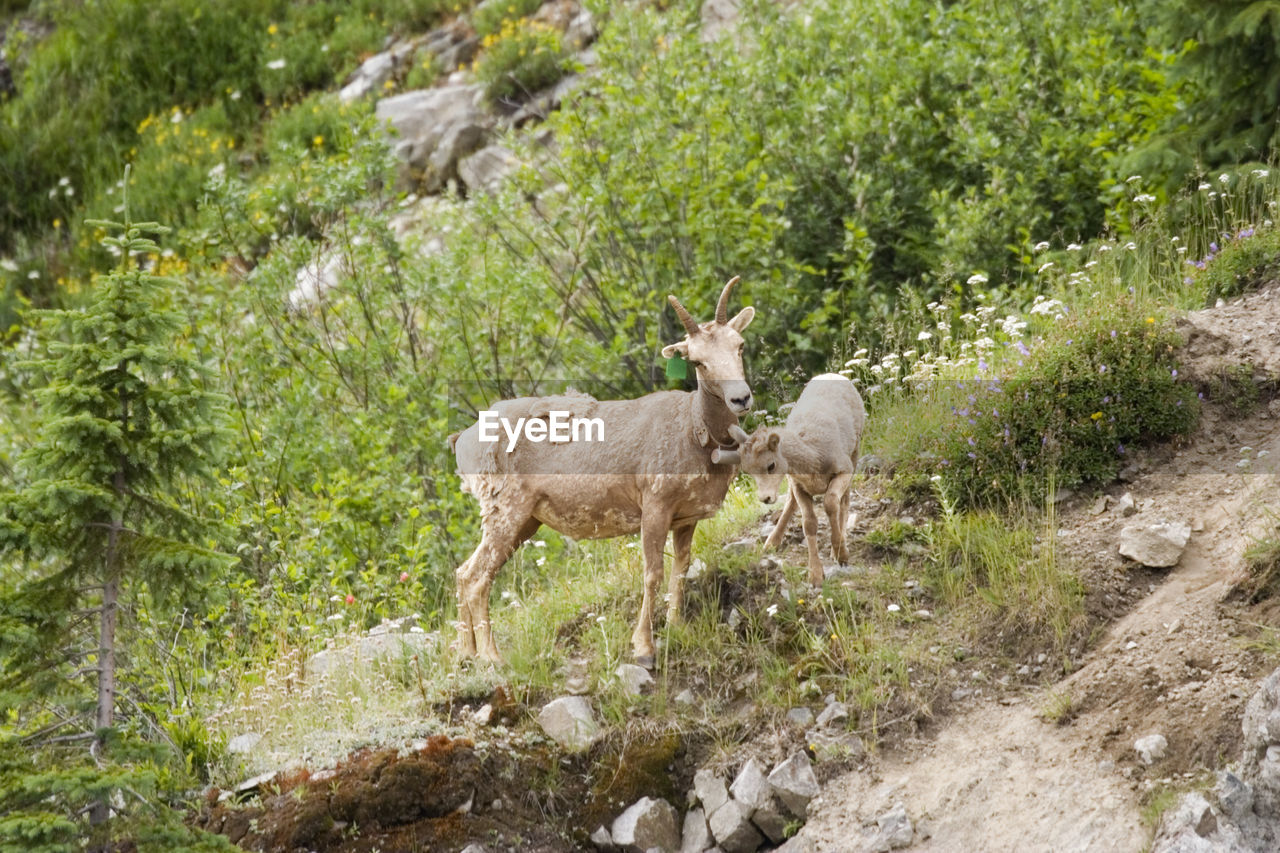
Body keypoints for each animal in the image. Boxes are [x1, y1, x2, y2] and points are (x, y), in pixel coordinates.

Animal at [450, 275, 752, 666]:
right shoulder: (654, 503)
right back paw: (492, 657)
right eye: (697, 361)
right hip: (505, 507)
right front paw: (643, 647)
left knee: (463, 571)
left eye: (740, 345)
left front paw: (678, 628)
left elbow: (681, 568)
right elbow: (652, 573)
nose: (741, 398)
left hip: (526, 519)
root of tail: (461, 442)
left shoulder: (686, 517)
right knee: (477, 576)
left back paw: (465, 654)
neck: (693, 431)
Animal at [737, 371, 865, 584]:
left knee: (845, 502)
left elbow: (832, 504)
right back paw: (771, 543)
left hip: (855, 453)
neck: (813, 456)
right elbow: (809, 523)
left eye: (770, 465)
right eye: (749, 471)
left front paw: (841, 555)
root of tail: (831, 374)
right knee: (790, 503)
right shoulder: (799, 486)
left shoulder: (844, 470)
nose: (765, 498)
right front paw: (815, 575)